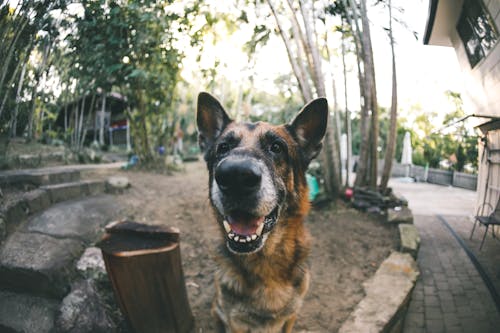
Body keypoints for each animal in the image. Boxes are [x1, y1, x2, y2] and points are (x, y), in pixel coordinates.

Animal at [195, 91, 328, 332]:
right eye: (223, 148)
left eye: (276, 148)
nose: (236, 176)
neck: (264, 262)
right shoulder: (235, 323)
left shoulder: (291, 317)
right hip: (217, 311)